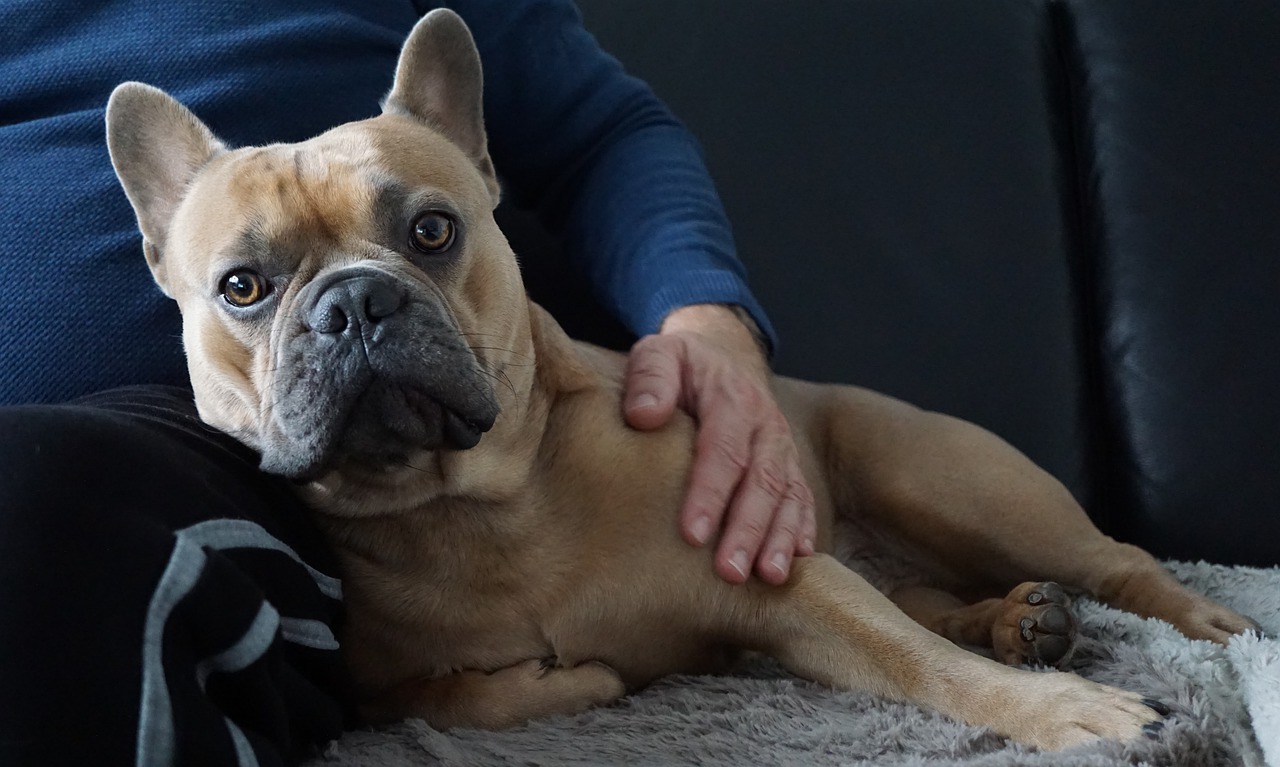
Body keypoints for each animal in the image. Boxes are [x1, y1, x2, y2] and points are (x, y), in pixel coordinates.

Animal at [102, 6, 1259, 747]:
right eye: (242, 286)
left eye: (431, 230)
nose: (352, 303)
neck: (471, 509)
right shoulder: (371, 690)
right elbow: (460, 695)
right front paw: (569, 675)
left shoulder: (789, 580)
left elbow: (918, 665)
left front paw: (1068, 717)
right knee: (933, 601)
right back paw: (1020, 620)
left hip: (945, 481)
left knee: (1112, 562)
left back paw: (1198, 625)